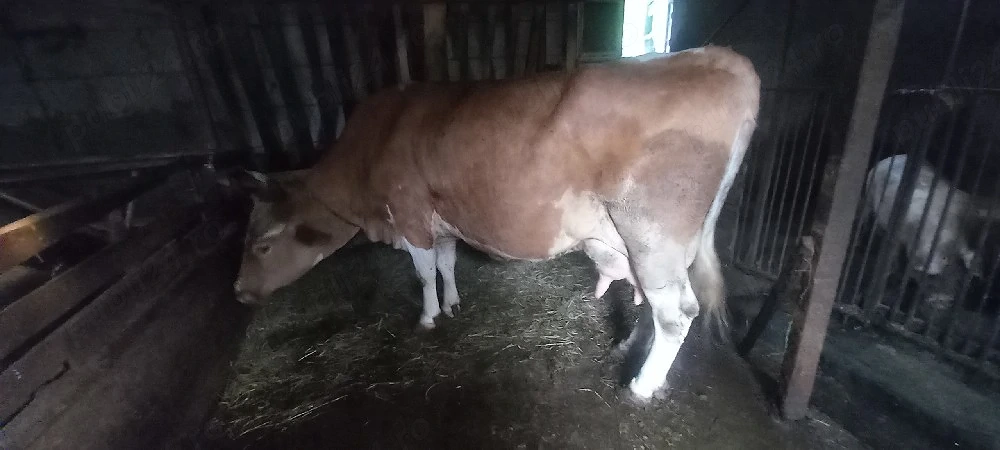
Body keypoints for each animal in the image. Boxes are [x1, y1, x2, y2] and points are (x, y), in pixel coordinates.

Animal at [227, 45, 760, 401]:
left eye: (261, 245)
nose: (238, 293)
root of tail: (719, 59)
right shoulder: (442, 219)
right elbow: (446, 264)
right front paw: (453, 304)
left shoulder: (410, 214)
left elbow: (423, 272)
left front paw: (428, 317)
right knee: (655, 303)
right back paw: (631, 346)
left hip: (654, 238)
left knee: (677, 313)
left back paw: (642, 385)